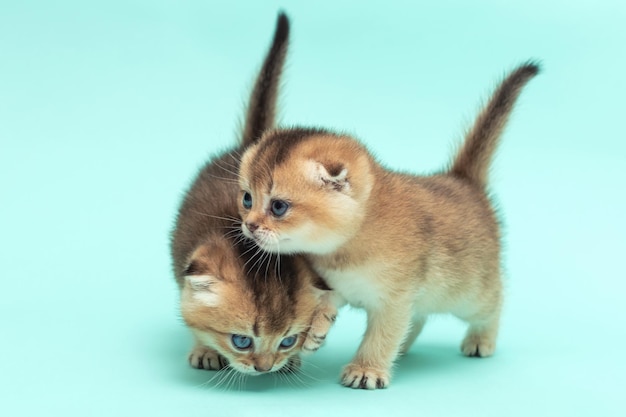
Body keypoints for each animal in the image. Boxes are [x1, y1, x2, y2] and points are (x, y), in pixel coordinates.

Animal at [236, 61, 540, 386]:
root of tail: (462, 180)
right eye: (247, 199)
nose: (249, 225)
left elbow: (382, 335)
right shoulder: (340, 285)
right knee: (418, 317)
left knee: (494, 301)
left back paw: (481, 339)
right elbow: (326, 301)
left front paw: (366, 369)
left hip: (470, 293)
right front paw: (317, 328)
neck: (345, 248)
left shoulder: (395, 299)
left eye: (278, 207)